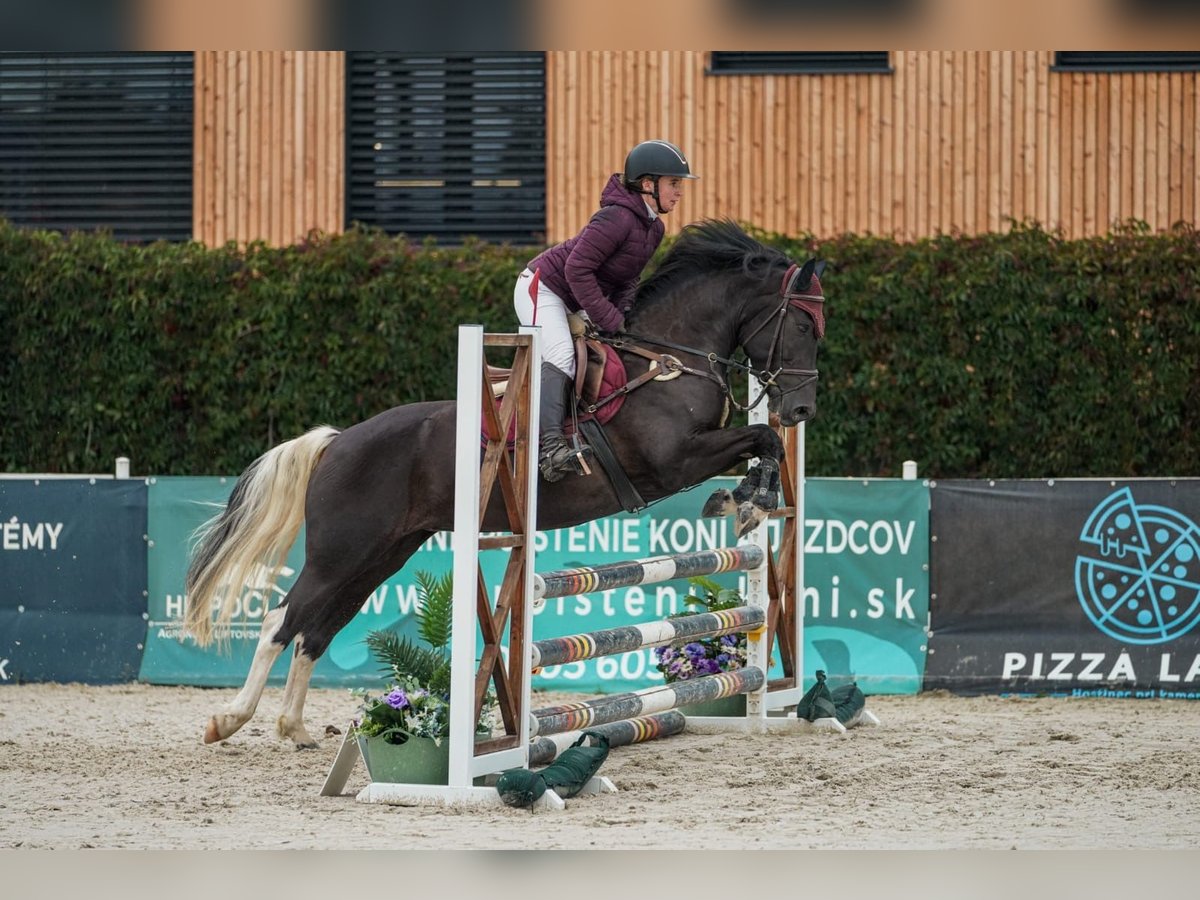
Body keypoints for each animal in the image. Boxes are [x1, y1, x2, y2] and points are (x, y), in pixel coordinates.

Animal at [184, 218, 827, 748]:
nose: (799, 411)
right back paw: (229, 721)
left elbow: (763, 446)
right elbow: (761, 441)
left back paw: (294, 729)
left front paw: (745, 500)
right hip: (340, 553)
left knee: (317, 630)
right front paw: (746, 501)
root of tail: (337, 441)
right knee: (282, 621)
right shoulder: (673, 460)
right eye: (801, 322)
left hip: (381, 554)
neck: (665, 361)